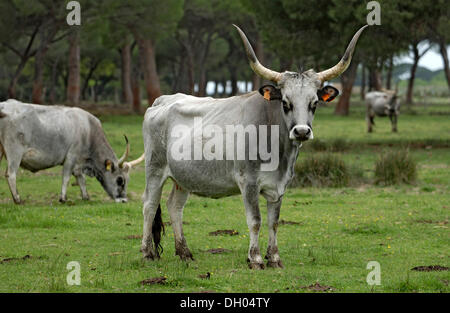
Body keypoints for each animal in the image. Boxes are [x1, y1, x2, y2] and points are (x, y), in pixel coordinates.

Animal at [0, 98, 144, 204]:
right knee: (11, 174)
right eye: (120, 180)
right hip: (15, 153)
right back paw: (17, 199)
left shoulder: (79, 163)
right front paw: (63, 198)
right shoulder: (71, 157)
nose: (123, 200)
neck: (89, 130)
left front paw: (86, 196)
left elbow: (81, 178)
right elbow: (66, 177)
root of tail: (4, 105)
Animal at [141, 25, 370, 268]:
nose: (301, 131)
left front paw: (275, 258)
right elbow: (255, 220)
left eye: (314, 103)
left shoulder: (279, 186)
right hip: (154, 169)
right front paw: (256, 258)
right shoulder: (248, 182)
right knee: (149, 205)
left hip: (183, 177)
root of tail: (162, 100)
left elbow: (274, 222)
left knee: (174, 207)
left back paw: (184, 252)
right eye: (285, 103)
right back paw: (147, 253)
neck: (278, 152)